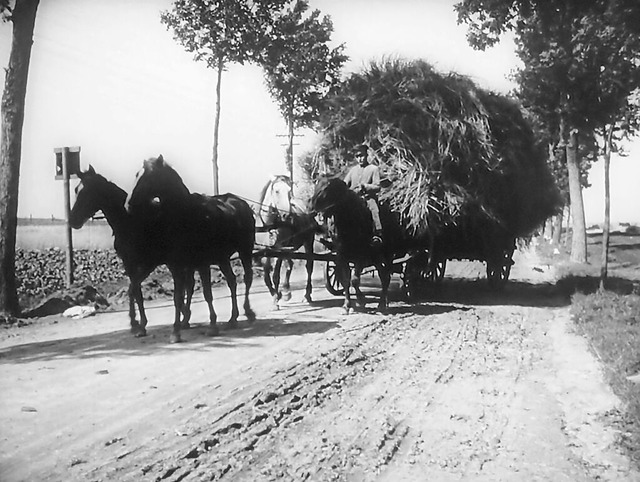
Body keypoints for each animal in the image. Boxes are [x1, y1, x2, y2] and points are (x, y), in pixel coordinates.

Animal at [68, 166, 199, 337]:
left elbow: (133, 289)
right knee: (186, 285)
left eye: (87, 191)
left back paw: (185, 318)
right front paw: (137, 324)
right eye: (76, 190)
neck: (131, 222)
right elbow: (136, 291)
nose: (72, 220)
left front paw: (137, 323)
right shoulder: (129, 263)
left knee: (188, 285)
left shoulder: (148, 263)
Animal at [125, 155, 256, 343]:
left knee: (247, 278)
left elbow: (207, 294)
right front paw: (175, 331)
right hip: (222, 258)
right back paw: (233, 318)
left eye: (149, 177)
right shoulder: (176, 265)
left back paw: (249, 312)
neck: (186, 217)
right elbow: (177, 297)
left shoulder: (201, 263)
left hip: (245, 251)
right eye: (137, 174)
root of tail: (242, 203)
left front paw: (212, 326)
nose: (128, 204)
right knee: (232, 281)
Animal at [257, 174, 318, 308]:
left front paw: (276, 298)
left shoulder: (279, 250)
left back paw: (307, 295)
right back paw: (286, 291)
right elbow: (266, 275)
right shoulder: (265, 251)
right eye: (276, 191)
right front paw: (277, 294)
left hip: (308, 241)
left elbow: (275, 276)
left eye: (290, 192)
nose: (287, 215)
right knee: (290, 265)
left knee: (309, 267)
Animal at [311, 177, 405, 313]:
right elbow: (345, 280)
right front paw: (347, 305)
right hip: (375, 256)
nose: (312, 204)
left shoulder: (360, 255)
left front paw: (361, 300)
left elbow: (355, 280)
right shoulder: (341, 255)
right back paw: (384, 302)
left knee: (386, 276)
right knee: (383, 275)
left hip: (388, 254)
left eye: (327, 187)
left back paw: (382, 303)